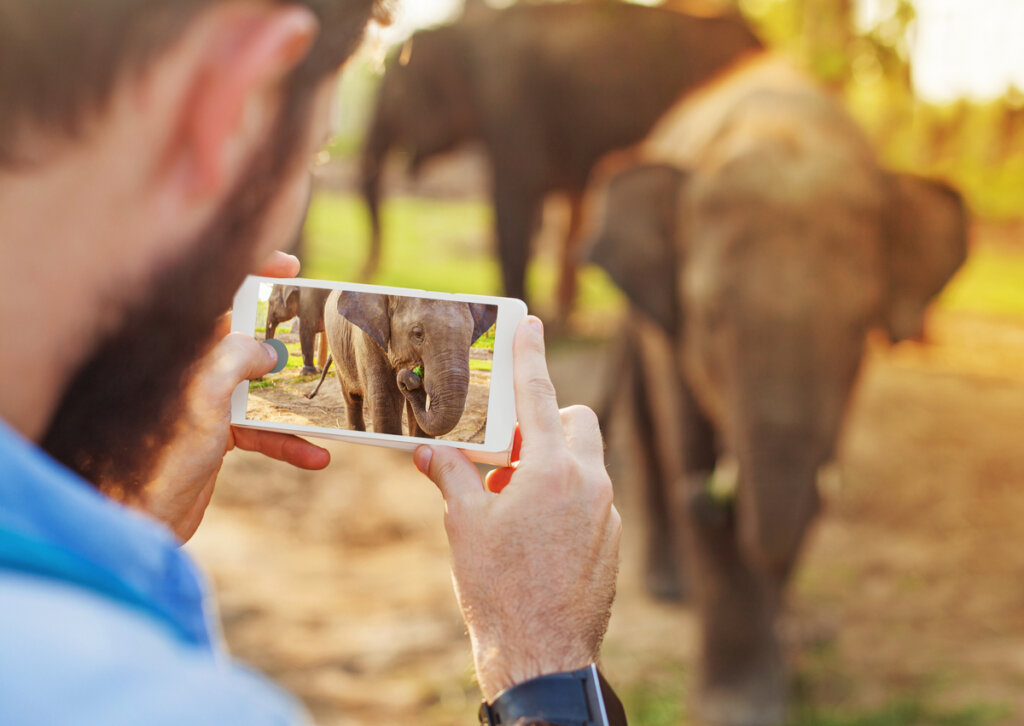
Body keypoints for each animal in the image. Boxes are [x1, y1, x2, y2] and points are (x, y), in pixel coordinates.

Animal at [313, 288, 497, 436]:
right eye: (417, 334)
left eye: (471, 335)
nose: (411, 377)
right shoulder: (366, 337)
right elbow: (385, 405)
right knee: (352, 397)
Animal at [360, 2, 761, 319]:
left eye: (396, 94)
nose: (367, 272)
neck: (466, 29)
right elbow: (571, 199)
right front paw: (561, 313)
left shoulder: (510, 99)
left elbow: (515, 200)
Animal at [585, 65, 966, 720]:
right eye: (711, 317)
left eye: (858, 326)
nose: (708, 498)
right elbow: (686, 435)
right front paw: (736, 709)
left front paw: (792, 647)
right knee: (649, 423)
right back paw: (671, 585)